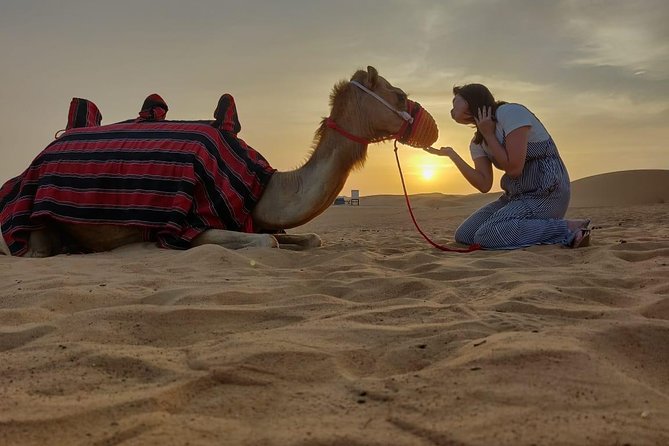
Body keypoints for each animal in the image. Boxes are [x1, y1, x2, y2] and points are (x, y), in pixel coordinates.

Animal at [0, 64, 428, 256]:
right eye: (399, 94)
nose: (433, 128)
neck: (261, 187)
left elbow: (307, 237)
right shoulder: (192, 226)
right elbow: (268, 243)